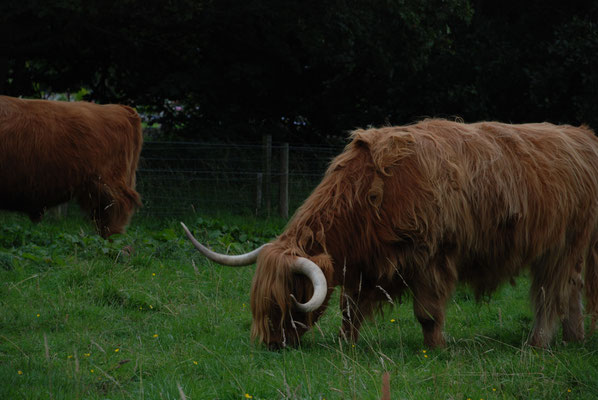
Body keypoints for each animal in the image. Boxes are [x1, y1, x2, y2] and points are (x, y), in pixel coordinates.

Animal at [180, 119, 598, 350]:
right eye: (257, 302)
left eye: (287, 300)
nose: (270, 344)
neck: (367, 197)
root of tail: (581, 137)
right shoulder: (362, 265)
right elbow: (349, 310)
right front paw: (345, 345)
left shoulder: (432, 259)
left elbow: (427, 313)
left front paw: (436, 349)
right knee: (572, 288)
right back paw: (574, 338)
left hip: (564, 244)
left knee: (552, 292)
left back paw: (539, 343)